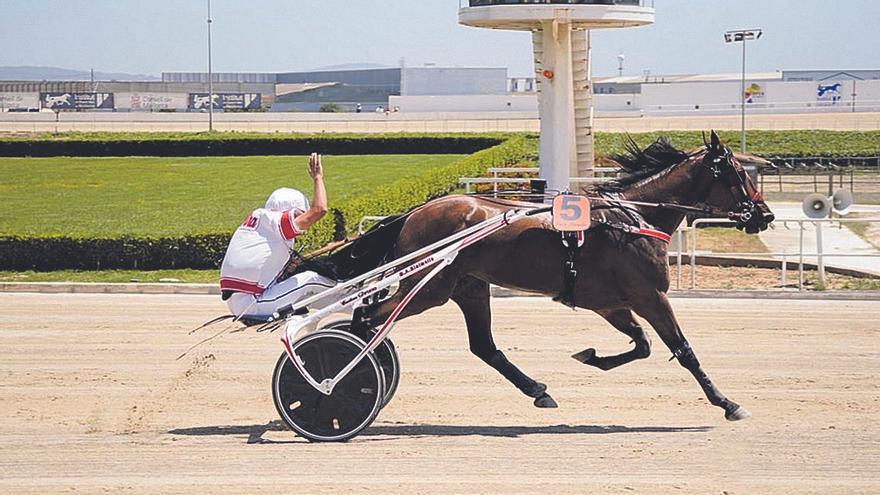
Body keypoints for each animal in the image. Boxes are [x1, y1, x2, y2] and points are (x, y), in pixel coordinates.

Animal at [326, 131, 772, 422]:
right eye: (738, 173)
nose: (764, 215)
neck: (634, 217)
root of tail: (416, 211)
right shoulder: (649, 296)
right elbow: (683, 350)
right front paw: (727, 402)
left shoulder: (610, 303)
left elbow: (642, 345)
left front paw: (591, 357)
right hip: (429, 289)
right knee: (367, 319)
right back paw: (341, 377)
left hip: (468, 286)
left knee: (482, 346)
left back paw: (538, 391)